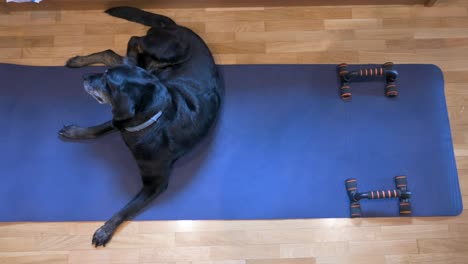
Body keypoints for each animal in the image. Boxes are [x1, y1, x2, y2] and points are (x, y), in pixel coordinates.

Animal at [59, 6, 224, 248]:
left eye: (107, 83)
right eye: (104, 78)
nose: (86, 78)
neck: (154, 120)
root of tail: (175, 26)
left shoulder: (155, 184)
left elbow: (126, 209)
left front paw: (105, 230)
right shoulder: (120, 122)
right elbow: (98, 129)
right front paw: (75, 132)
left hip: (167, 53)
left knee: (125, 49)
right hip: (158, 58)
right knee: (124, 49)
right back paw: (80, 61)